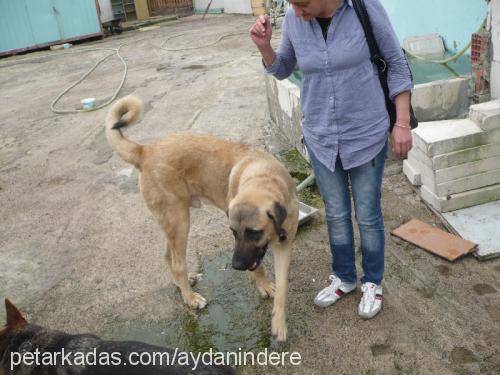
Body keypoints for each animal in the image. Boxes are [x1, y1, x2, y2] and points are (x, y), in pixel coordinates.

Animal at [104, 95, 296, 342]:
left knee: (168, 256)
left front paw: (279, 322)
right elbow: (259, 267)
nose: (235, 266)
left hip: (171, 222)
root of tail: (144, 150)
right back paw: (190, 298)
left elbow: (282, 289)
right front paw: (263, 286)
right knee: (178, 263)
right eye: (233, 232)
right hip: (179, 221)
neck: (264, 177)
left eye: (254, 232)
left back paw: (183, 285)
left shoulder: (284, 246)